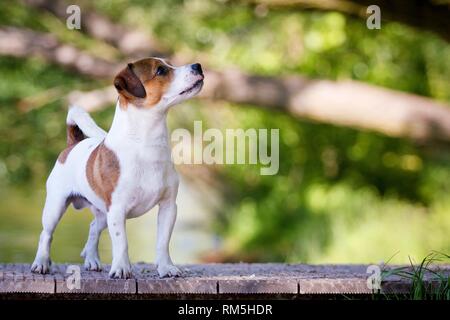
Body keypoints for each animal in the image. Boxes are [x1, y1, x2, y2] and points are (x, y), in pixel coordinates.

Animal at [29, 57, 202, 278]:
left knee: (93, 228)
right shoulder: (118, 210)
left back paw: (92, 260)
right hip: (56, 206)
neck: (145, 144)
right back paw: (41, 262)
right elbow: (121, 242)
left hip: (103, 213)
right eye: (161, 71)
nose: (198, 66)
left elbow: (163, 243)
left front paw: (166, 268)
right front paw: (121, 268)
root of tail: (72, 144)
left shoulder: (168, 207)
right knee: (46, 234)